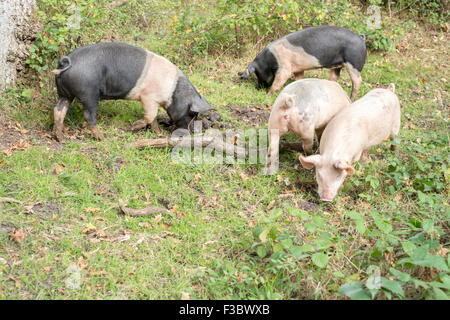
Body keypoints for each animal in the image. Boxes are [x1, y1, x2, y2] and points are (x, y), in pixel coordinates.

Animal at [51, 42, 214, 141]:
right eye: (192, 113)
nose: (192, 131)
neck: (172, 92)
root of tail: (66, 63)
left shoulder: (153, 101)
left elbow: (154, 118)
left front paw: (158, 133)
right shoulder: (148, 97)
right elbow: (150, 116)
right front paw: (133, 127)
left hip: (64, 93)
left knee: (59, 110)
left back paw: (61, 137)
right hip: (89, 93)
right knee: (88, 116)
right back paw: (102, 137)